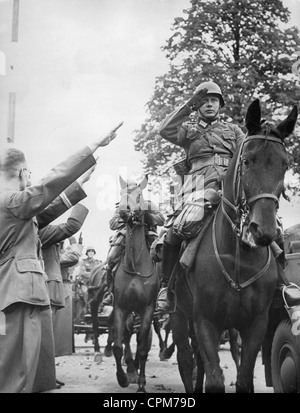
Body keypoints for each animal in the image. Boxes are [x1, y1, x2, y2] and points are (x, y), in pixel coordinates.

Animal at [170, 98, 298, 392]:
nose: (263, 230)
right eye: (248, 161)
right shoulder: (205, 321)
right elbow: (214, 379)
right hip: (179, 315)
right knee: (186, 359)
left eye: (284, 165)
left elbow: (244, 378)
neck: (238, 258)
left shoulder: (256, 324)